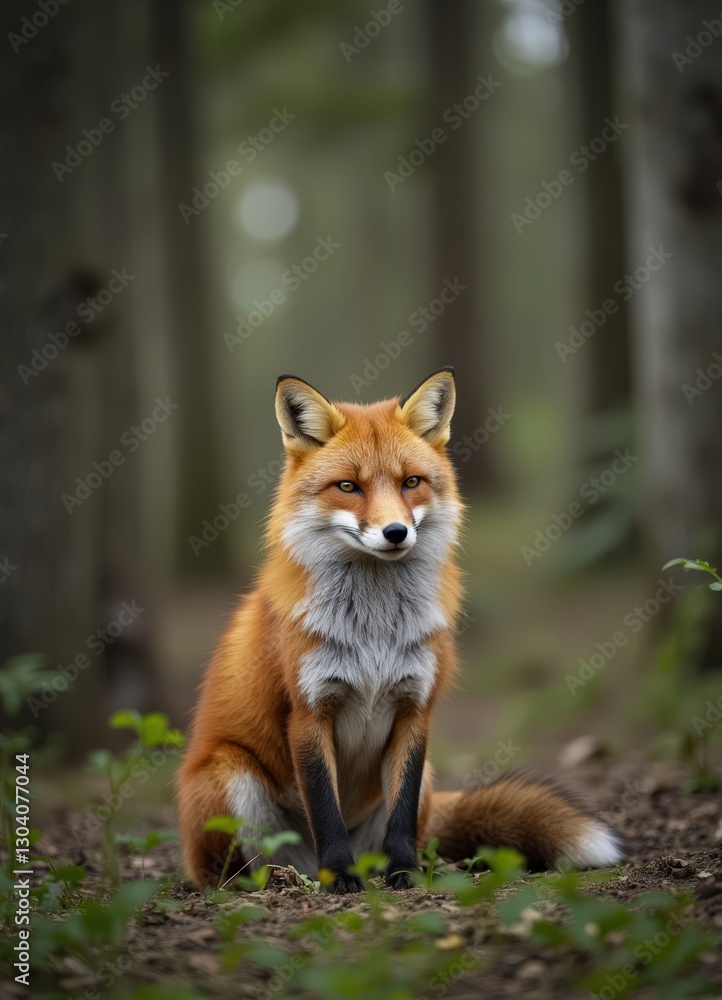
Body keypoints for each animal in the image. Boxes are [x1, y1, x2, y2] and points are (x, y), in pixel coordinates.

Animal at [177, 367, 623, 893]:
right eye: (348, 486)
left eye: (411, 482)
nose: (395, 532)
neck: (374, 631)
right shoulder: (308, 713)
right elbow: (325, 810)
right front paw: (341, 876)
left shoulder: (415, 708)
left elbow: (402, 813)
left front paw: (404, 871)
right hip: (231, 775)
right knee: (237, 870)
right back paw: (286, 879)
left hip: (426, 776)